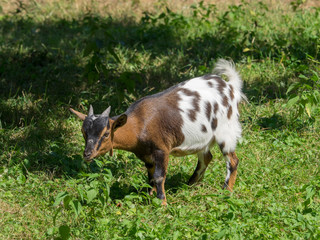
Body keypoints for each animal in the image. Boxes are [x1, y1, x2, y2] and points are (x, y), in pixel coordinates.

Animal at [70, 59, 245, 205]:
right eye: (83, 132)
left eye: (106, 134)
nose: (87, 154)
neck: (138, 123)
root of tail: (229, 86)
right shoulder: (146, 155)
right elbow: (150, 177)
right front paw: (149, 197)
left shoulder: (162, 149)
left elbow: (159, 176)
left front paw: (162, 203)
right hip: (204, 138)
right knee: (206, 157)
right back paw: (190, 184)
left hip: (225, 131)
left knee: (233, 160)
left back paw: (226, 191)